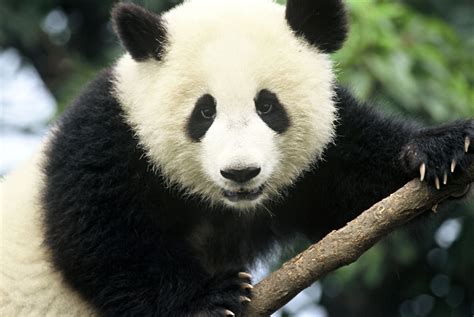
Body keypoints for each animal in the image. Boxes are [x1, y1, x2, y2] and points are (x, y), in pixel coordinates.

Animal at [1, 0, 472, 314]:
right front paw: (209, 299)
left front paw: (442, 149)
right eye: (204, 112)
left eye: (268, 106)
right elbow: (101, 241)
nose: (241, 172)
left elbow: (352, 186)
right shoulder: (107, 140)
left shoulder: (324, 158)